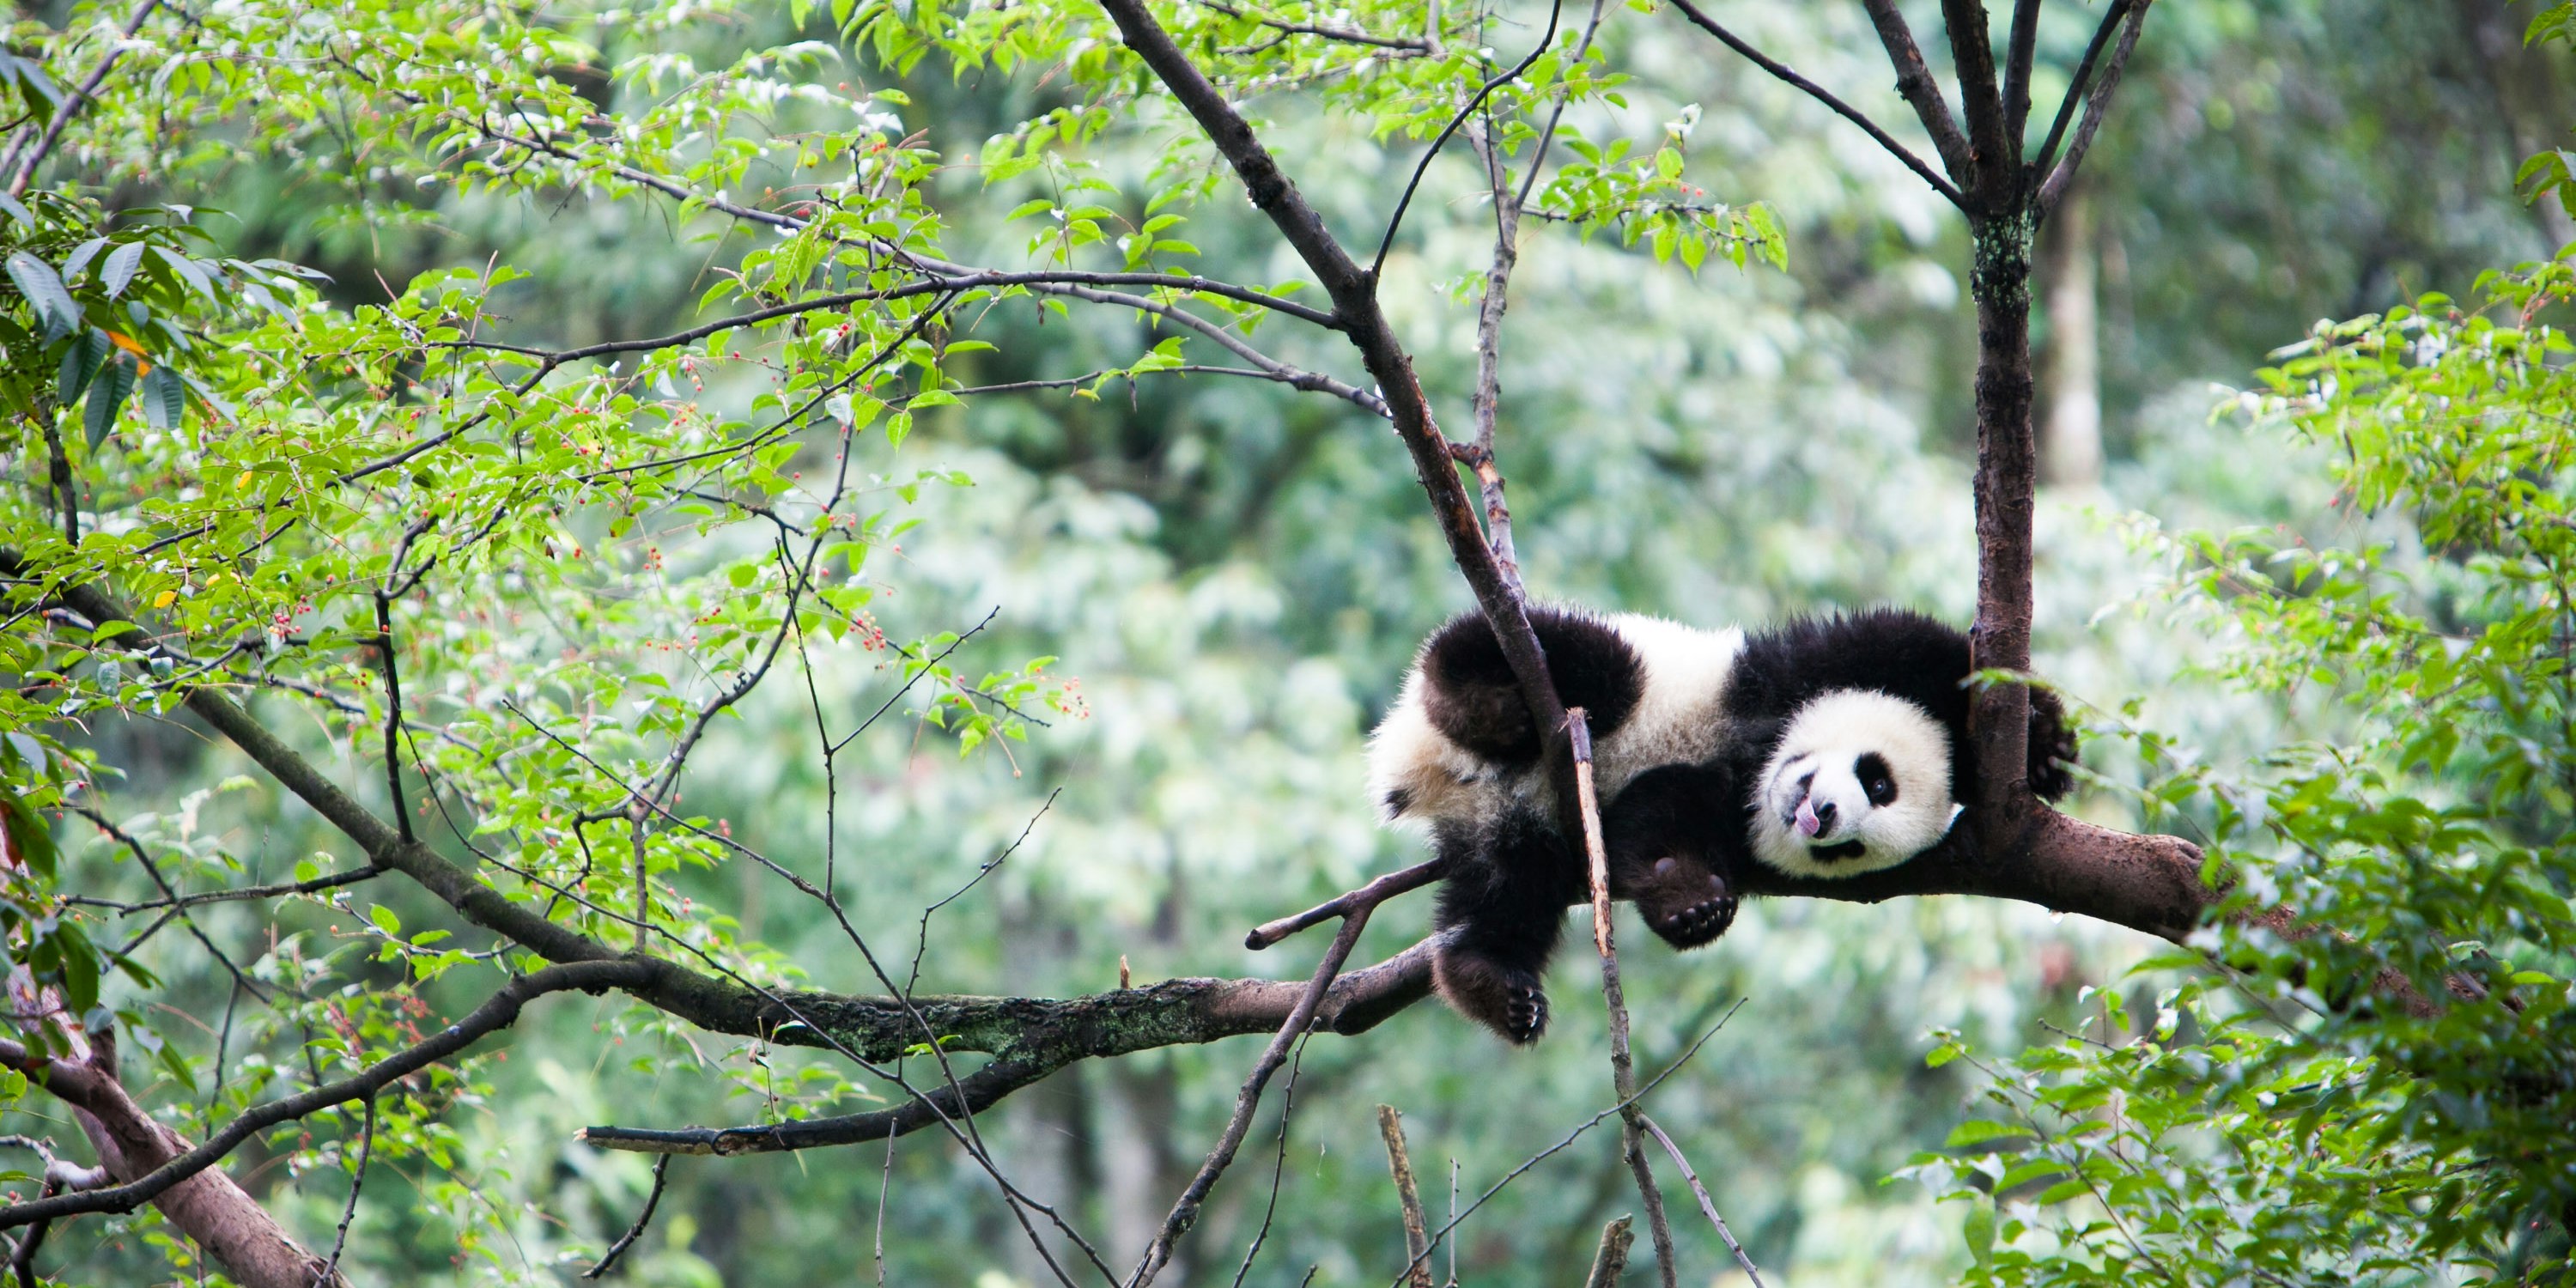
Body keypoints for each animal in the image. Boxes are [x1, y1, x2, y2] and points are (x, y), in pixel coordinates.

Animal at [1366, 606, 2077, 1045]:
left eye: (1850, 851)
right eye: (1878, 781)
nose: (1821, 818)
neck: (1755, 766)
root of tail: (1428, 773)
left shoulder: (1711, 809)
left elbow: (1655, 830)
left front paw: (1692, 906)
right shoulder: (1792, 674)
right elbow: (1920, 651)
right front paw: (2045, 747)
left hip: (1511, 828)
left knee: (1511, 888)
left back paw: (1493, 985)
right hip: (1596, 675)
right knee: (1563, 656)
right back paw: (1482, 704)